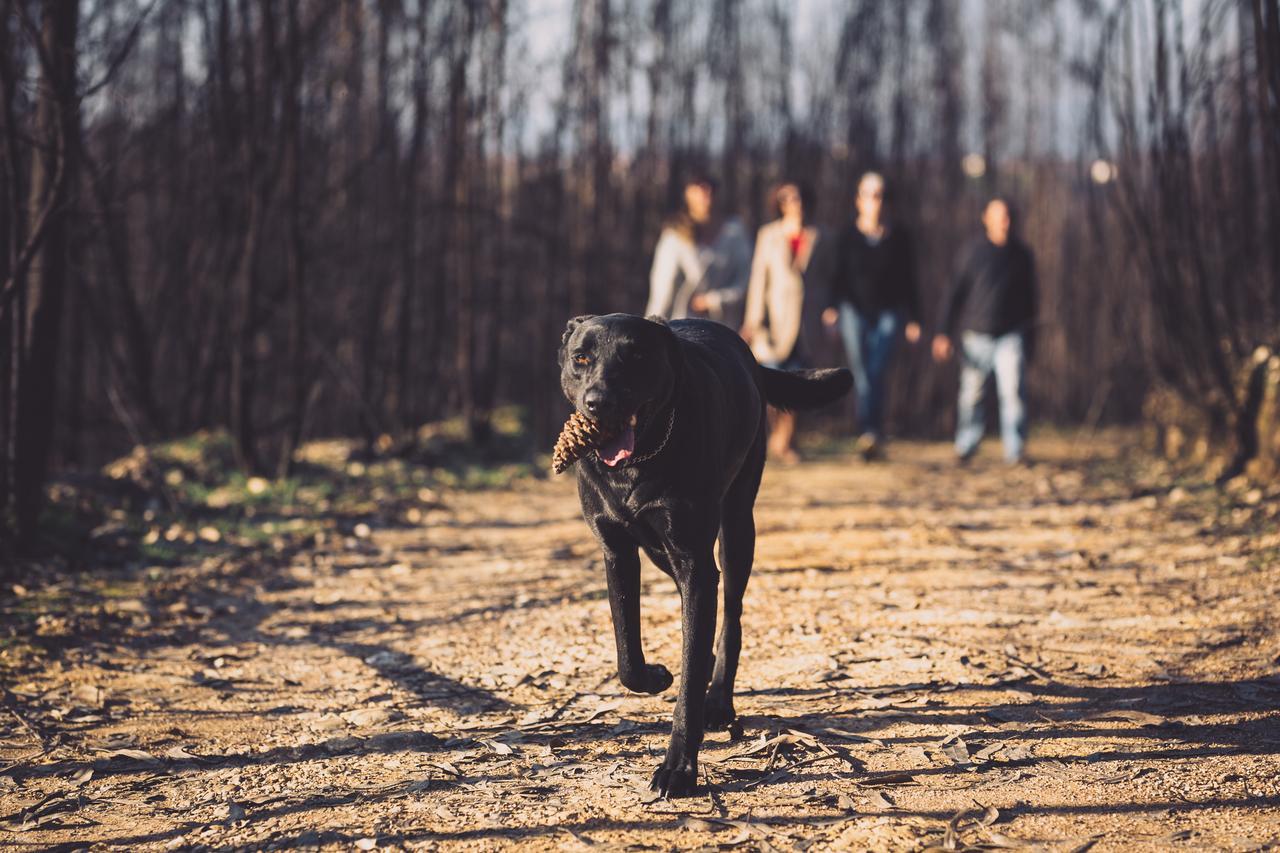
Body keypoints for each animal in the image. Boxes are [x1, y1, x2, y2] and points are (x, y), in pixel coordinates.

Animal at [558, 313, 849, 799]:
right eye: (581, 358)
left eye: (636, 356)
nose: (599, 403)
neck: (640, 461)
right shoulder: (618, 552)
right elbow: (627, 653)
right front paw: (656, 676)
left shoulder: (695, 561)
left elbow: (691, 674)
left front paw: (679, 767)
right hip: (665, 552)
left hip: (737, 528)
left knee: (730, 616)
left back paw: (719, 699)